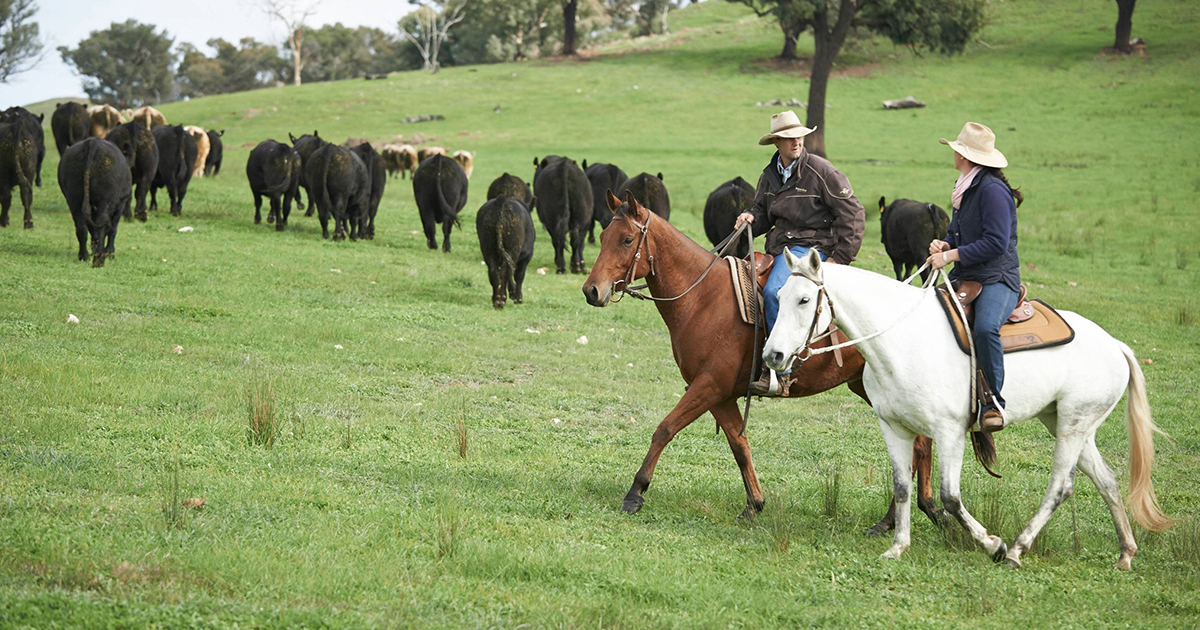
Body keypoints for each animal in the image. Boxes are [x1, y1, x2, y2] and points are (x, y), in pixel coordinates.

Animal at [57, 138, 132, 267]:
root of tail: (92, 142)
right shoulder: (121, 204)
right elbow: (113, 229)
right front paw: (110, 252)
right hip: (105, 200)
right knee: (103, 224)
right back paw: (99, 259)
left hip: (74, 198)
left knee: (82, 227)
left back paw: (84, 256)